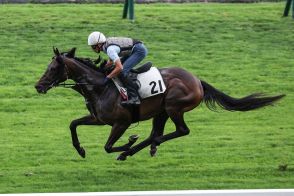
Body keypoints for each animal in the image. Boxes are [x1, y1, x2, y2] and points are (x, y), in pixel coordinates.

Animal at [34, 47, 284, 161]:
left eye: (53, 68)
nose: (38, 86)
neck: (100, 86)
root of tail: (197, 81)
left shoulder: (121, 123)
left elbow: (108, 146)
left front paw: (127, 143)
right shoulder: (98, 119)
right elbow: (73, 124)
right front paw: (81, 149)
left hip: (174, 106)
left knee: (180, 131)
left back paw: (137, 148)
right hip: (161, 111)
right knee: (156, 133)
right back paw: (141, 149)